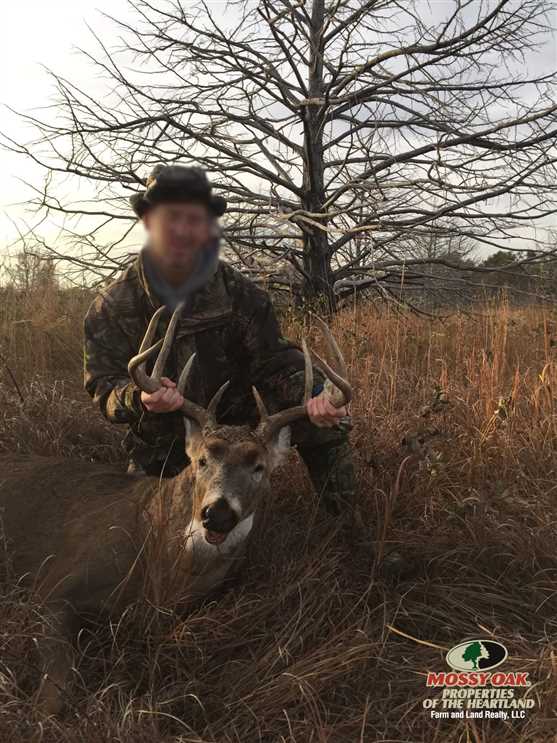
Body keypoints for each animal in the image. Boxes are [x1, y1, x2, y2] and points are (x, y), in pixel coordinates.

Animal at [0, 302, 352, 716]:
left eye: (259, 467)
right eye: (201, 460)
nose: (217, 514)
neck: (158, 569)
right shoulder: (53, 584)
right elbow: (57, 689)